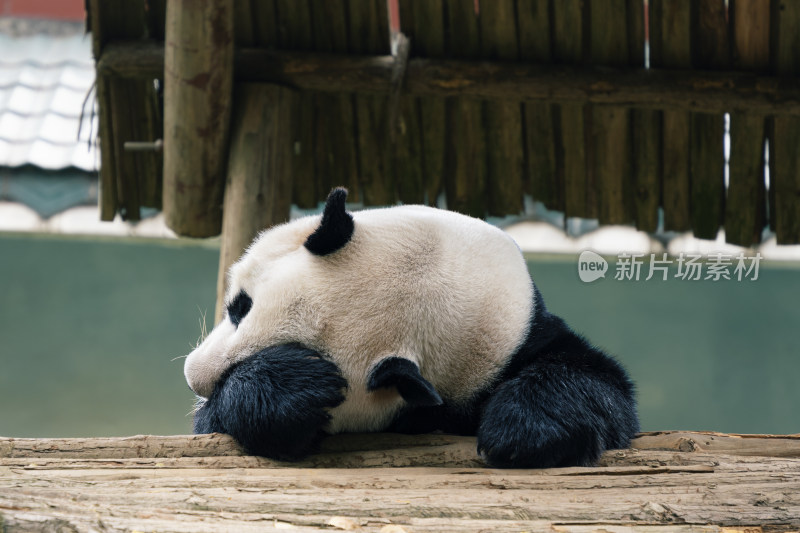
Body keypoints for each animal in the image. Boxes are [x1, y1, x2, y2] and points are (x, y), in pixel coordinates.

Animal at [184, 187, 640, 466]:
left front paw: (521, 431)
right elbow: (214, 425)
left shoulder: (519, 337)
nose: (194, 378)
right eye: (239, 307)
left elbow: (598, 383)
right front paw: (292, 390)